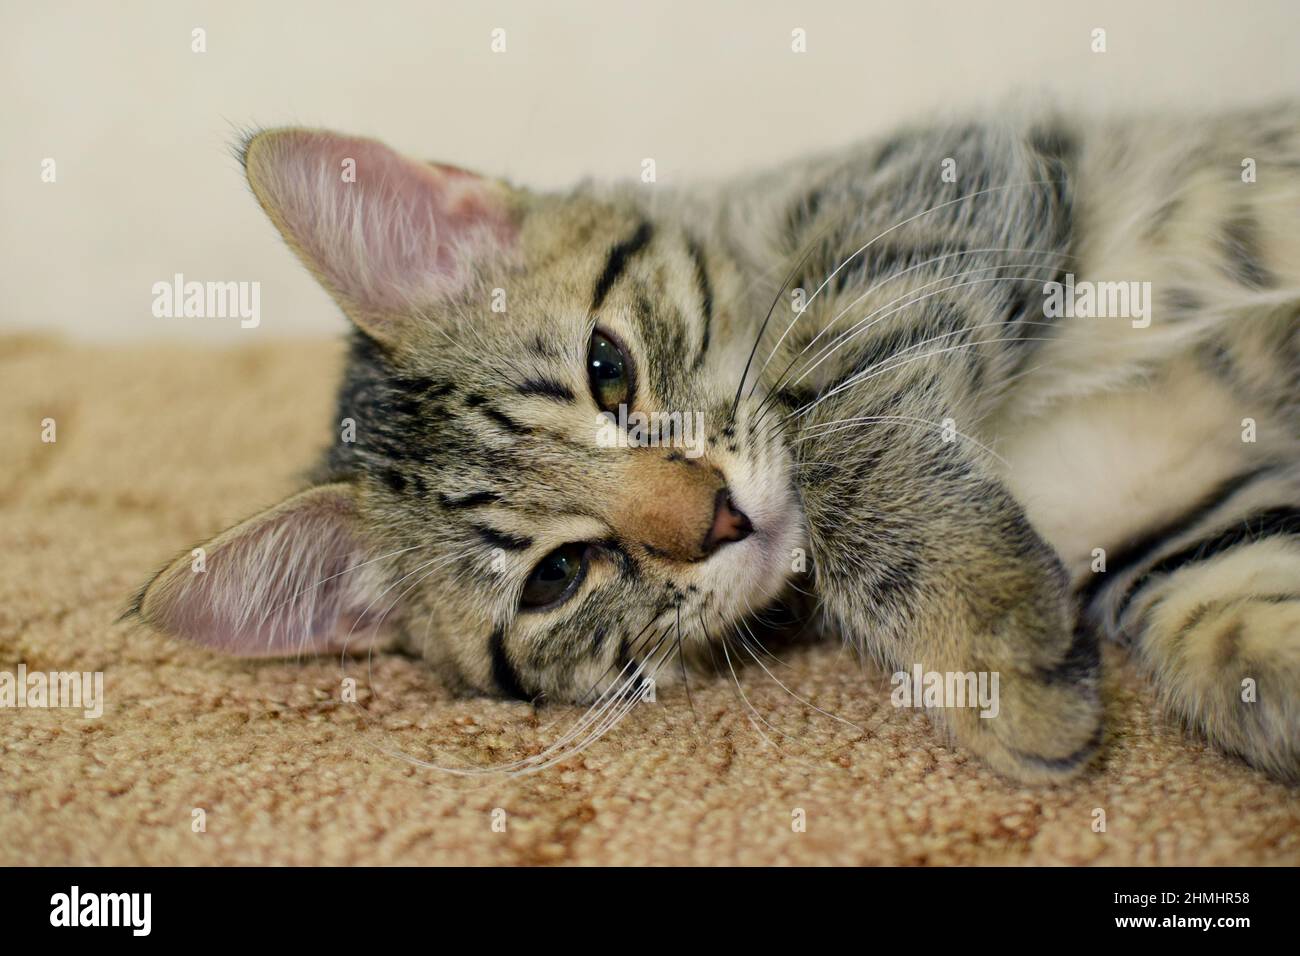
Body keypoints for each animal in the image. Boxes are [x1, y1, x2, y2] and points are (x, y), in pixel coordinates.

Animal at [129, 110, 1300, 785]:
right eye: (556, 576)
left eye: (608, 367)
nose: (720, 520)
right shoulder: (1171, 515)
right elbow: (1231, 618)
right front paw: (1005, 648)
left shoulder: (922, 200)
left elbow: (833, 413)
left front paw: (981, 636)